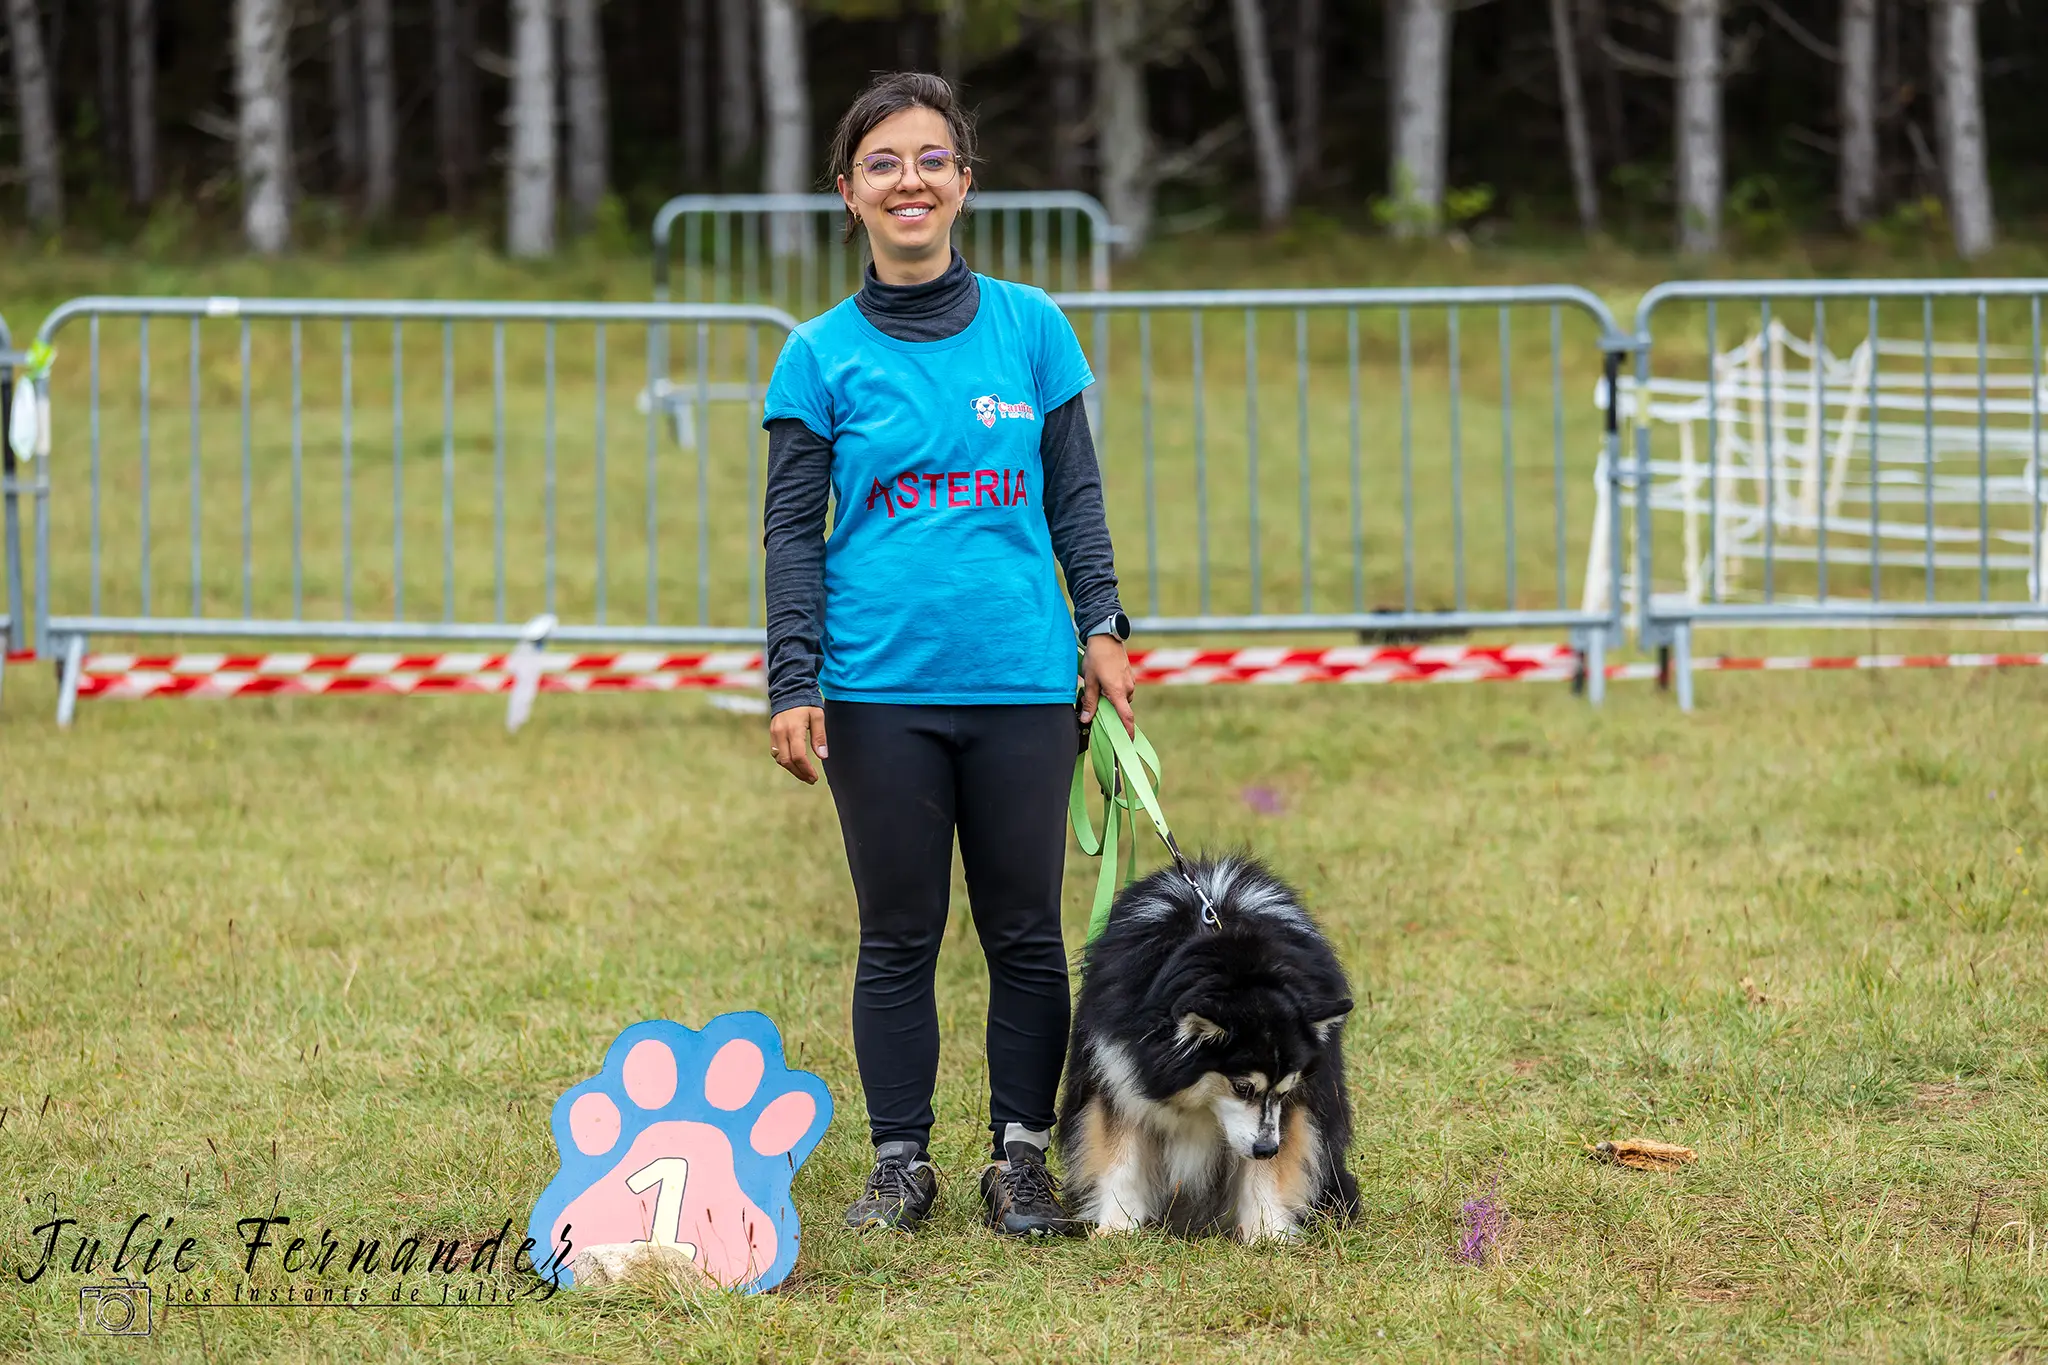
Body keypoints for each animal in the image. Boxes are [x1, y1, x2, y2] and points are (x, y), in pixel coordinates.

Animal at [1056, 859, 1359, 1244]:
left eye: (1284, 1089)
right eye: (1242, 1087)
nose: (1266, 1150)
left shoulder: (1292, 1105)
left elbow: (1269, 1167)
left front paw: (1266, 1233)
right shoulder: (1116, 1066)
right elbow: (1121, 1151)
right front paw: (1117, 1227)